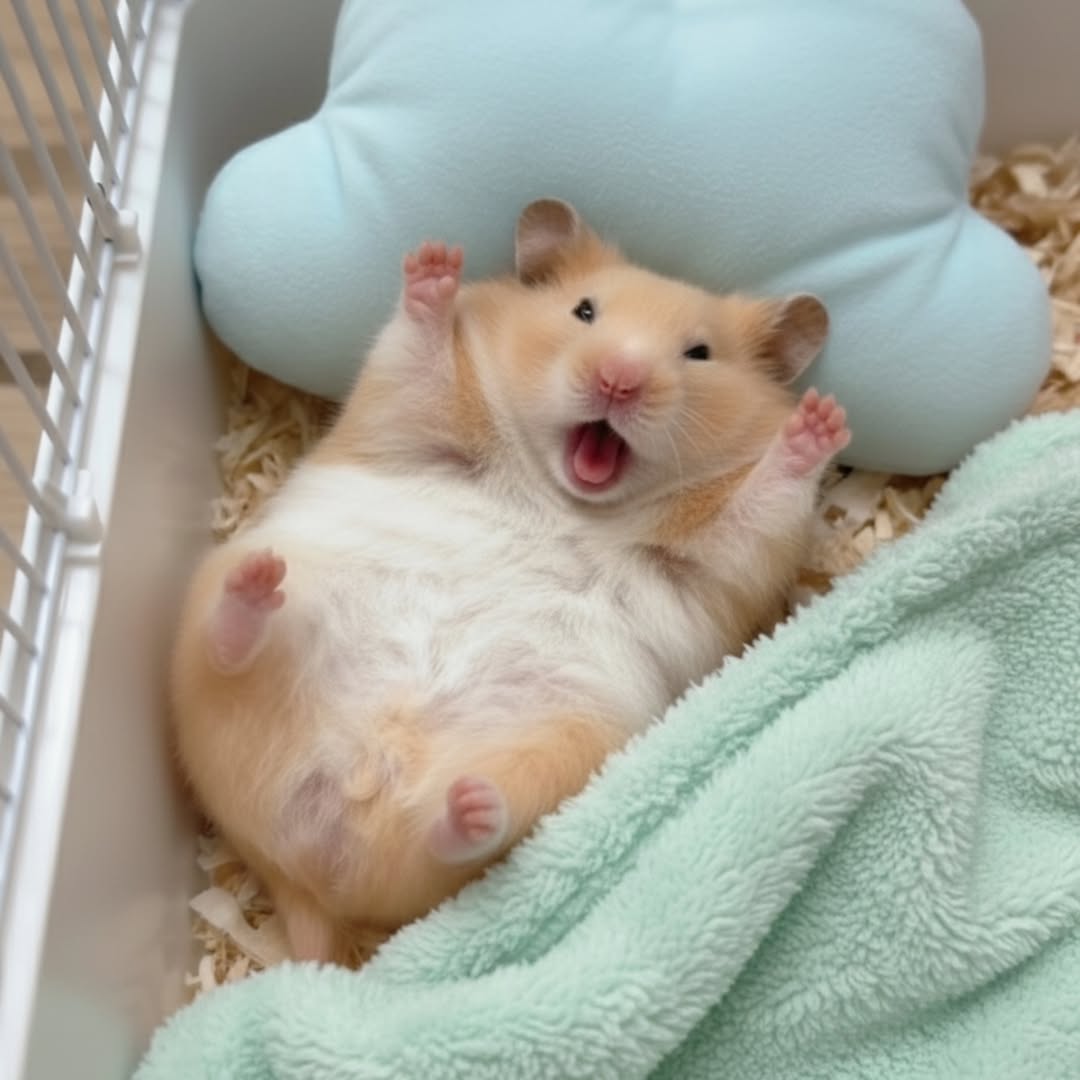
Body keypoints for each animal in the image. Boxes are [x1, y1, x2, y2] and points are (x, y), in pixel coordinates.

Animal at [170, 198, 850, 964]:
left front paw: (820, 423)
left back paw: (470, 806)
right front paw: (436, 264)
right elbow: (416, 356)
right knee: (226, 651)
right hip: (231, 654)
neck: (567, 497)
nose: (619, 378)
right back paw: (255, 589)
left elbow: (762, 503)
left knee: (454, 839)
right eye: (584, 311)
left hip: (565, 747)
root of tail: (304, 873)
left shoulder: (728, 563)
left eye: (699, 353)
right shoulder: (410, 416)